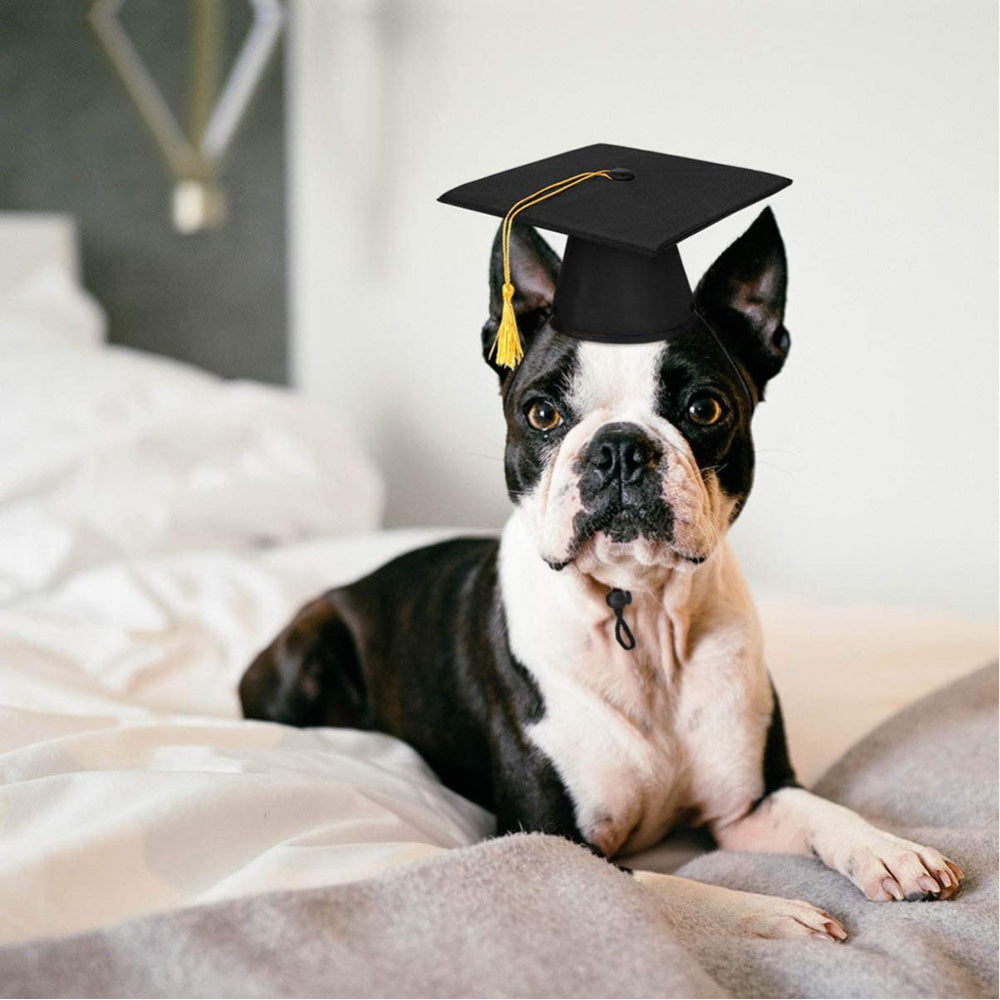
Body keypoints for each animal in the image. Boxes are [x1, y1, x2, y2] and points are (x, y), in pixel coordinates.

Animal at [240, 209, 960, 936]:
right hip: (308, 656)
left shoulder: (748, 807)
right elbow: (683, 888)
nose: (619, 446)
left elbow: (824, 811)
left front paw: (889, 850)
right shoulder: (553, 841)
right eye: (542, 413)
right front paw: (778, 913)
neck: (643, 613)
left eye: (705, 409)